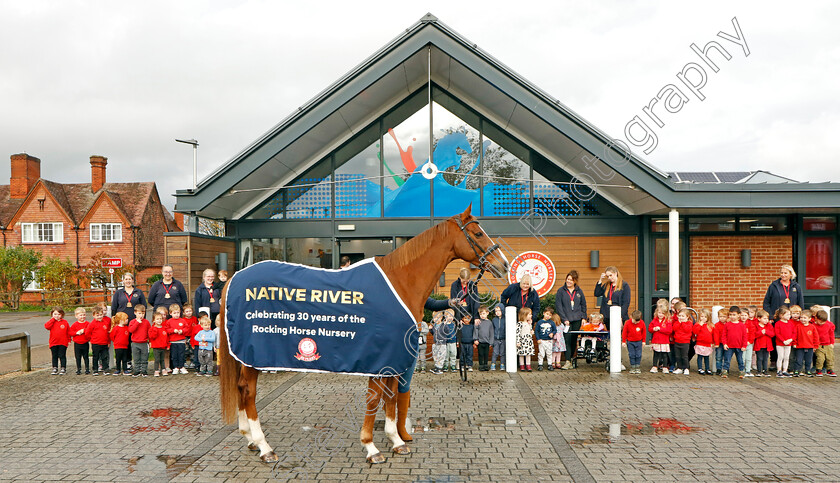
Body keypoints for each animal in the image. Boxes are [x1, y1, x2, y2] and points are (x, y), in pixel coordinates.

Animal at [217, 206, 508, 464]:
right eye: (478, 233)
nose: (503, 265)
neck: (401, 282)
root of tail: (234, 278)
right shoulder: (380, 357)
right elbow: (375, 398)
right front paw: (371, 447)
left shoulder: (393, 357)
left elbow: (391, 397)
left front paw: (397, 441)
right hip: (253, 354)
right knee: (248, 392)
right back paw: (264, 446)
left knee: (241, 389)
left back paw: (250, 440)